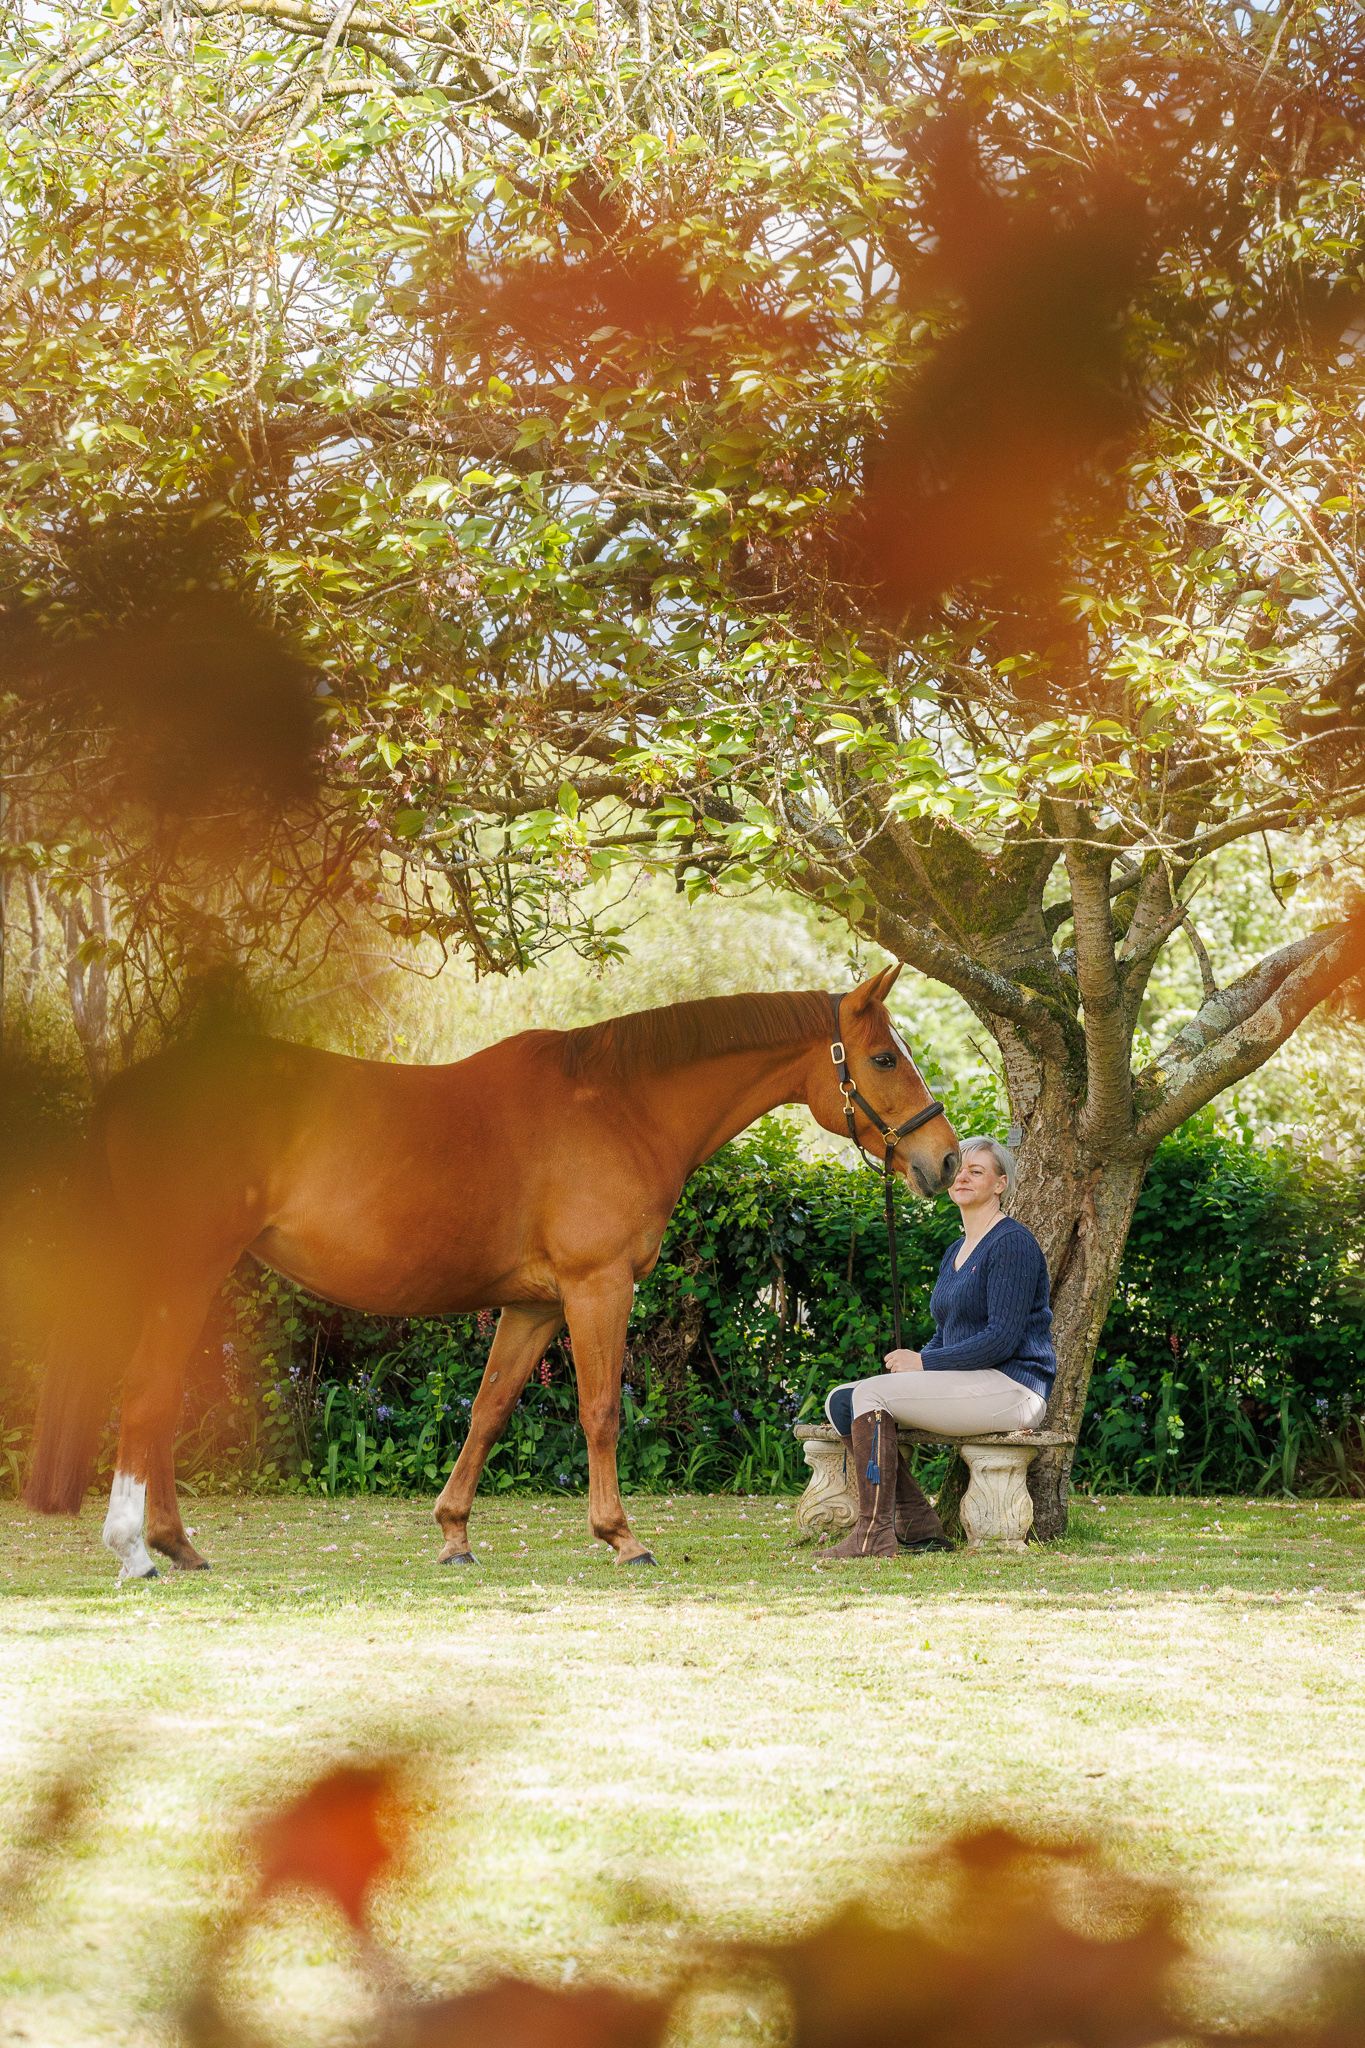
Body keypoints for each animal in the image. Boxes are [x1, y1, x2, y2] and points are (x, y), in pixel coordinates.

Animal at [23, 965, 959, 1576]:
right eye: (883, 1058)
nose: (945, 1161)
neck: (618, 1106)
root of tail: (132, 1087)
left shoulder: (532, 1307)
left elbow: (488, 1409)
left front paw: (453, 1535)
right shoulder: (597, 1288)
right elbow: (599, 1411)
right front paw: (621, 1536)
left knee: (162, 1402)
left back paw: (177, 1545)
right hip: (183, 1272)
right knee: (146, 1396)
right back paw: (137, 1550)